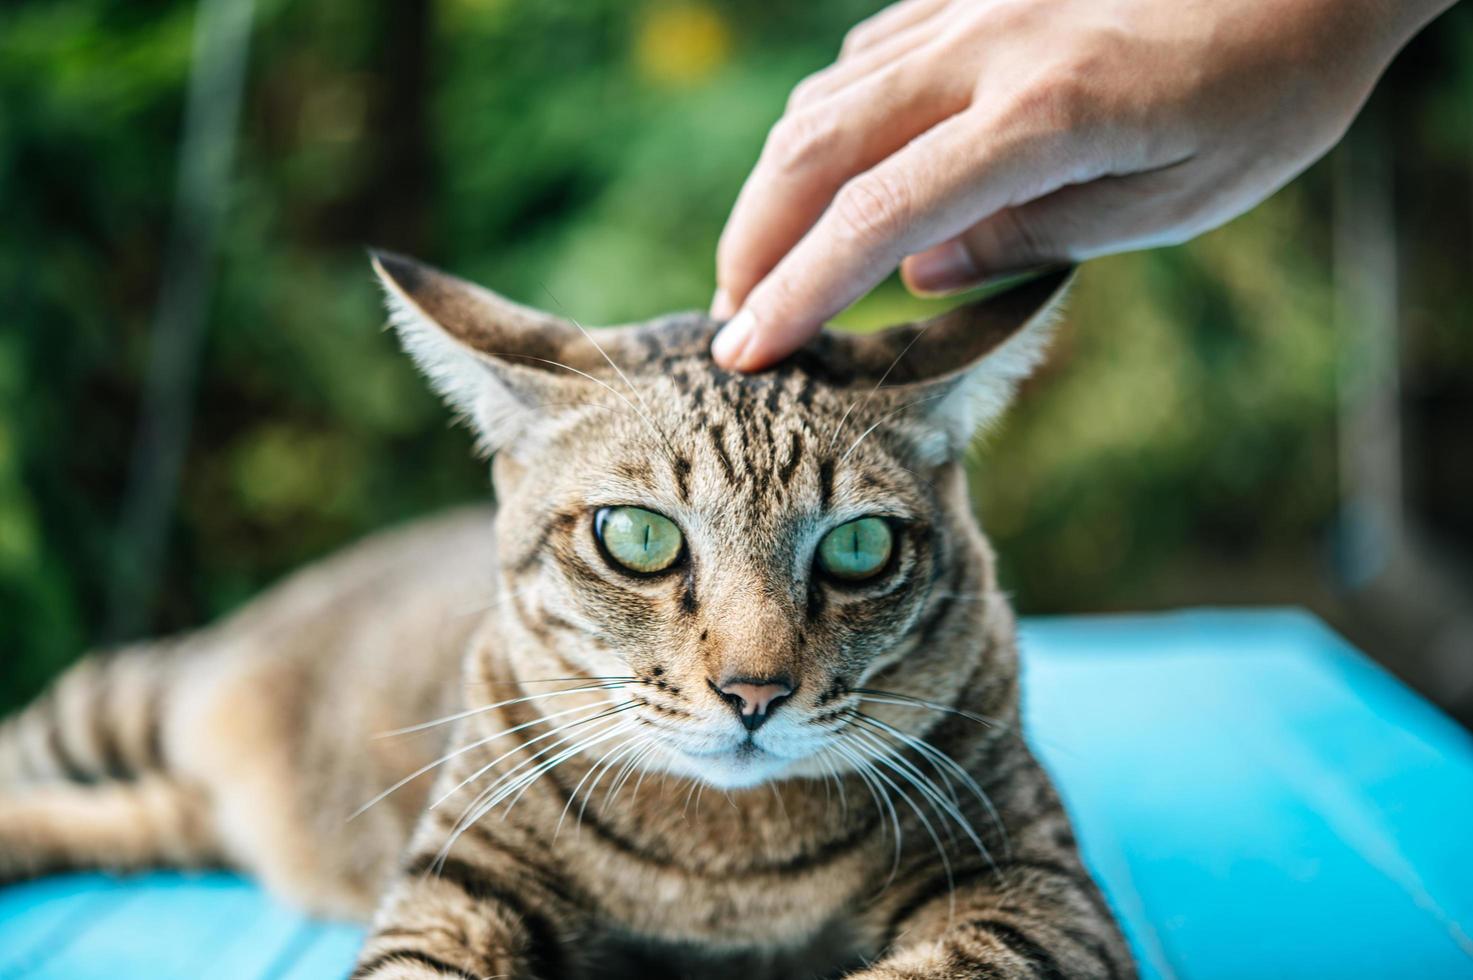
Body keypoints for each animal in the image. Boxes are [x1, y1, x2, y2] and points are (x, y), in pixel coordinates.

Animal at [0, 253, 1131, 978]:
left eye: (857, 548)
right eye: (637, 535)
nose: (754, 692)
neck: (725, 863)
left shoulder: (1033, 886)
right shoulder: (460, 882)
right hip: (135, 700)